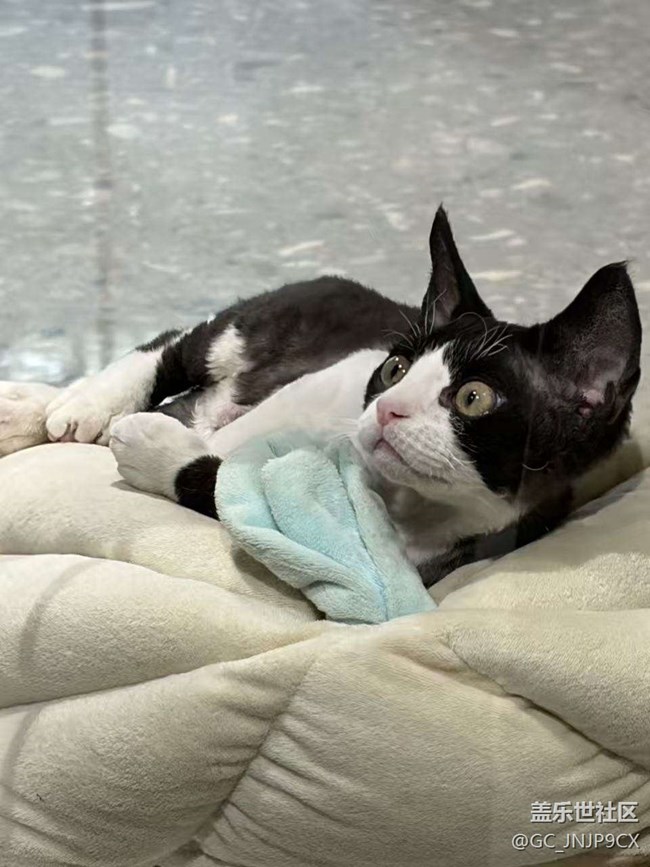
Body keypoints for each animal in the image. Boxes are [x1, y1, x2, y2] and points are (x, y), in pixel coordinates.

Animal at [10, 206, 643, 584]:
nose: (387, 408)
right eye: (394, 369)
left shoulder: (392, 552)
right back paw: (74, 406)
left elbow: (221, 479)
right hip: (265, 323)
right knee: (175, 348)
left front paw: (152, 445)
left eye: (474, 399)